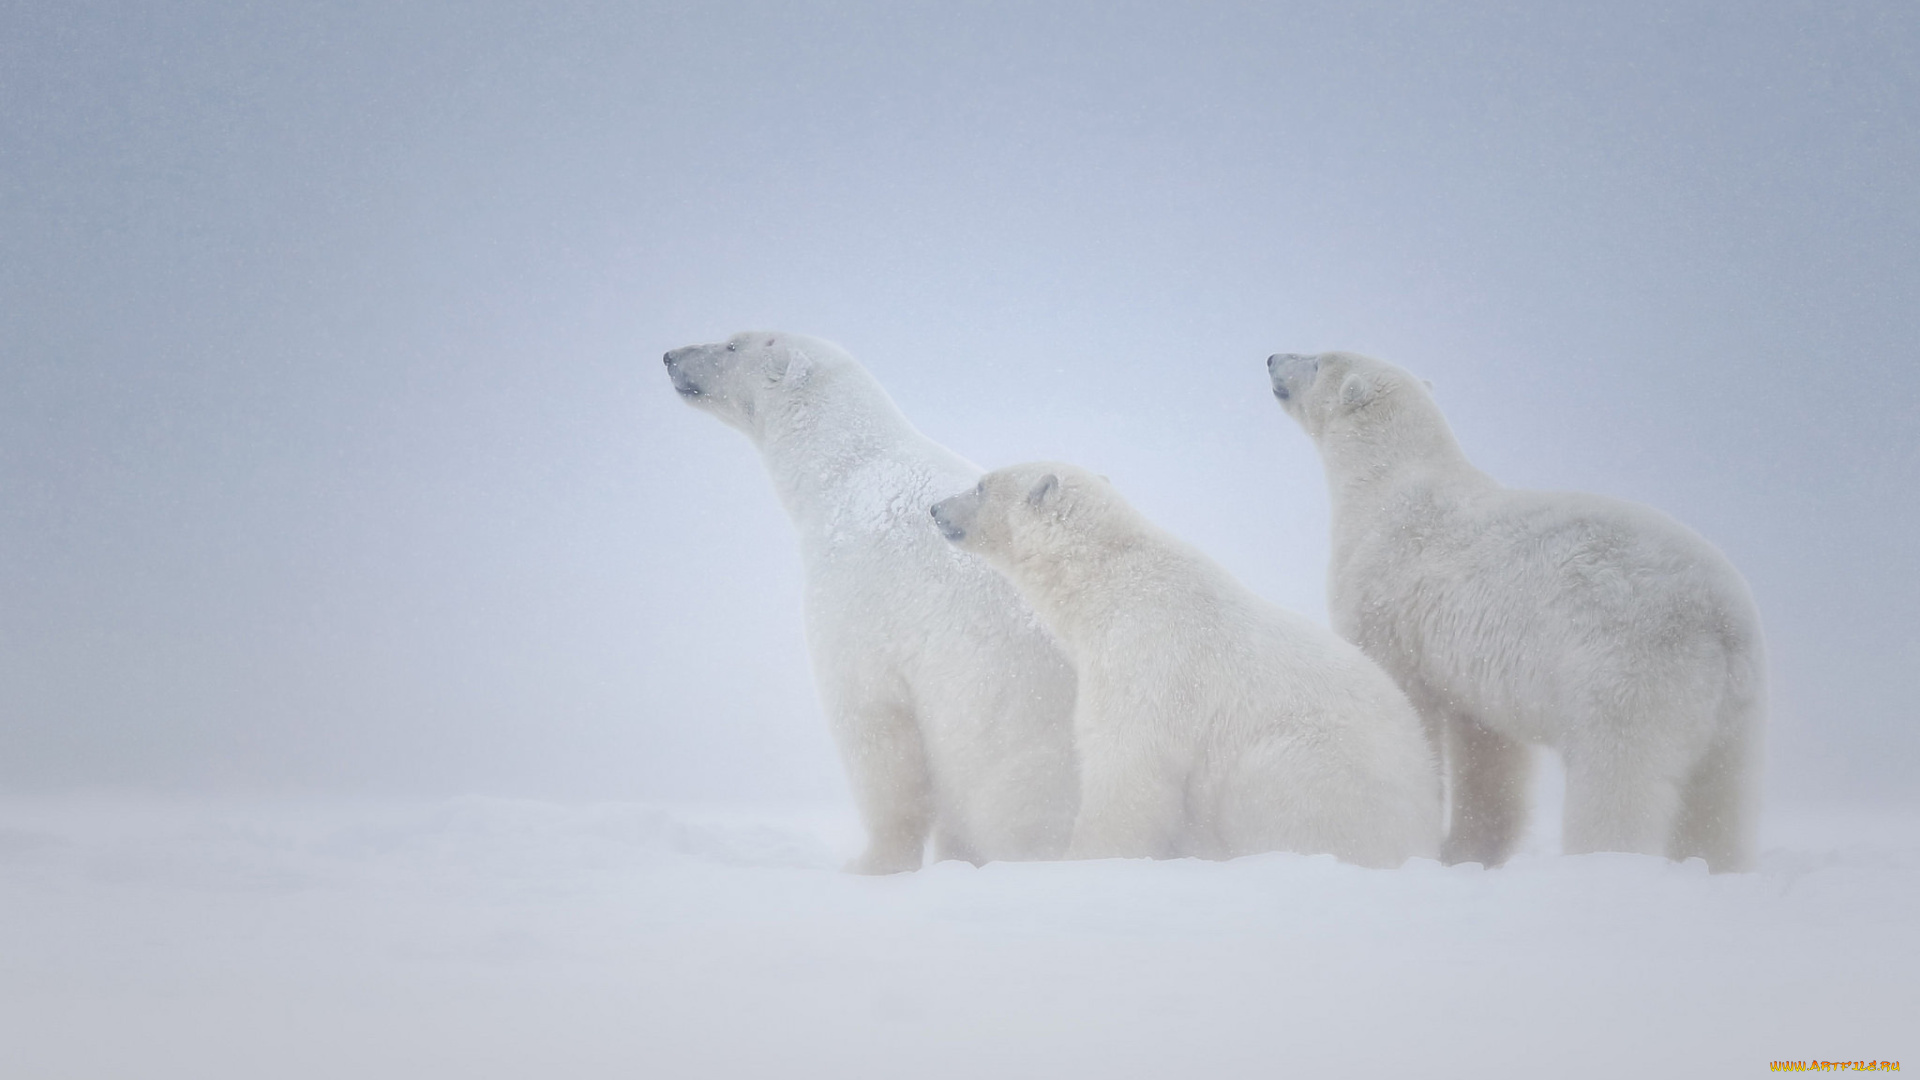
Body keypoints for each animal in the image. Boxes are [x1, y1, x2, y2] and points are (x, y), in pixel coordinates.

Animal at [660, 332, 1082, 868]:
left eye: (733, 345)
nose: (670, 356)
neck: (850, 470)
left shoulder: (862, 601)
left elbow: (875, 729)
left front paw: (871, 864)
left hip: (1029, 755)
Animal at [929, 463, 1443, 864]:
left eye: (981, 485)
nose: (935, 509)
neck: (1110, 581)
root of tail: (1422, 829)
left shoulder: (1147, 652)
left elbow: (1128, 760)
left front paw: (1083, 858)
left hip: (1316, 767)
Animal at [1267, 349, 1758, 868]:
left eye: (1317, 361)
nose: (1273, 357)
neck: (1386, 480)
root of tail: (1720, 617)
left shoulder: (1384, 595)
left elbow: (1404, 694)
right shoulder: (1473, 665)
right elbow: (1488, 747)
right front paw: (1467, 850)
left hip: (1629, 668)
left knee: (1618, 776)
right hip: (1737, 707)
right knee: (1721, 795)